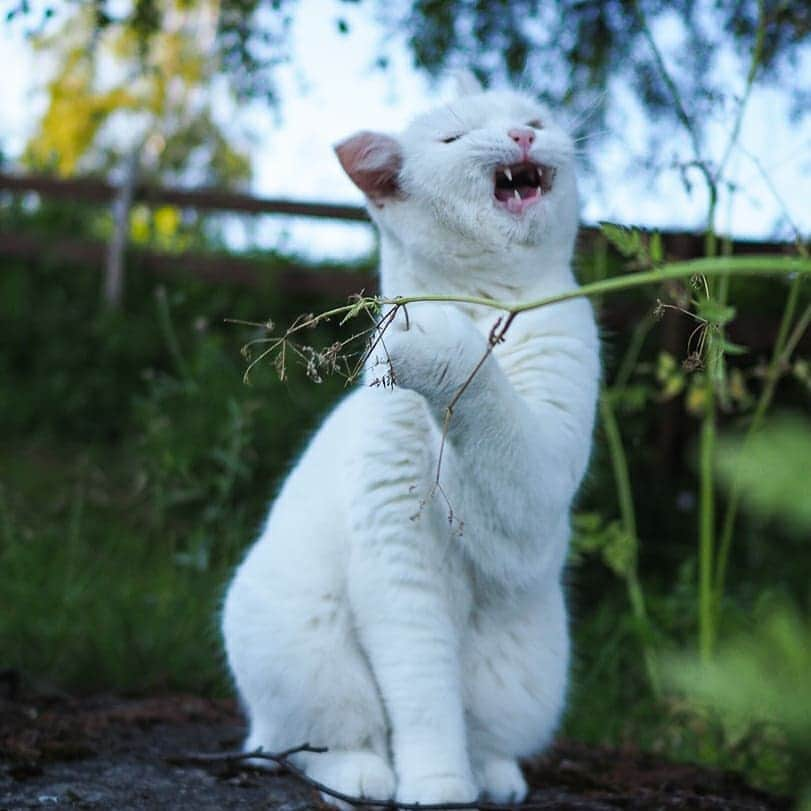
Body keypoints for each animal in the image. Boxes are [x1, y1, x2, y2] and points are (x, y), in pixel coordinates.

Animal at [222, 79, 604, 808]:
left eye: (533, 120)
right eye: (454, 138)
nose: (521, 136)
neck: (485, 307)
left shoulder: (533, 496)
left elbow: (493, 416)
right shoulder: (400, 561)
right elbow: (424, 698)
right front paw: (436, 786)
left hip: (529, 674)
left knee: (483, 735)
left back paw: (495, 778)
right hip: (305, 650)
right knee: (316, 742)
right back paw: (364, 775)